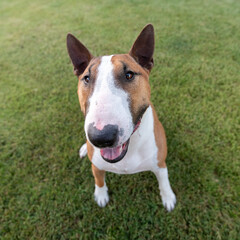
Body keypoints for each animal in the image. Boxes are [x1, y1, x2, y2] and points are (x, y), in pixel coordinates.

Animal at [66, 24, 176, 211]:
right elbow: (99, 180)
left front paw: (168, 197)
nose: (101, 138)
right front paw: (101, 196)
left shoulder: (160, 164)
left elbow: (164, 180)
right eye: (86, 78)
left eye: (129, 75)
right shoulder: (96, 165)